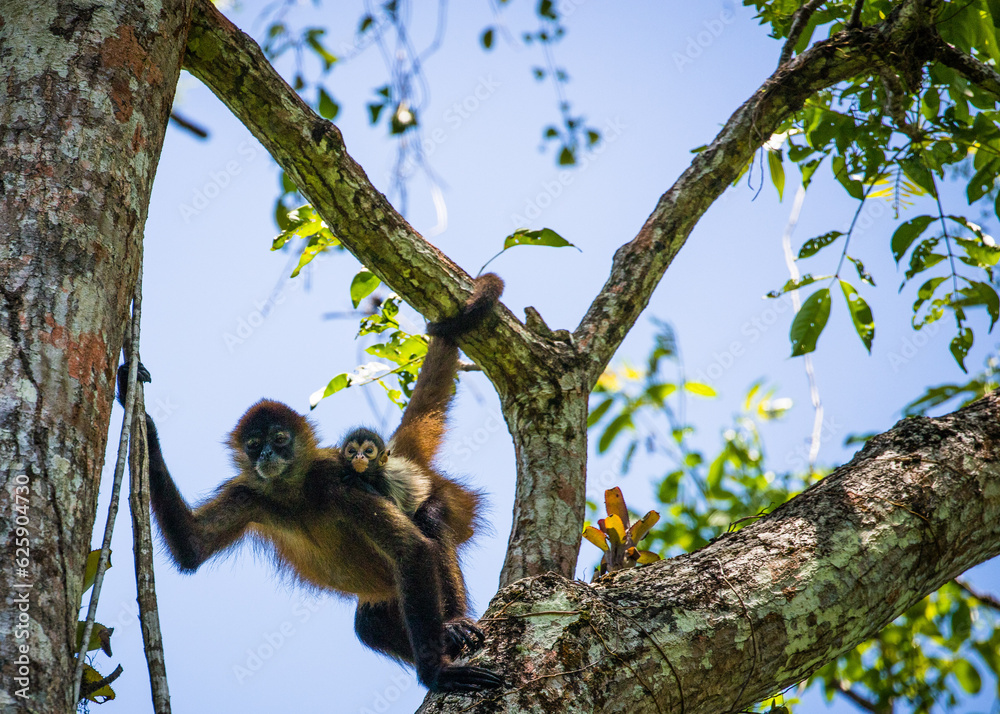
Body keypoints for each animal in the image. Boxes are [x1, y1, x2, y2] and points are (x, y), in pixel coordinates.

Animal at [117, 274, 504, 693]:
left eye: (280, 439)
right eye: (254, 445)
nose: (267, 456)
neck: (296, 495)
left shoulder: (337, 480)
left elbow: (414, 551)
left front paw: (436, 673)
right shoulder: (250, 495)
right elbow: (192, 546)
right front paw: (140, 415)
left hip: (452, 500)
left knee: (430, 519)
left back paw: (453, 625)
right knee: (369, 625)